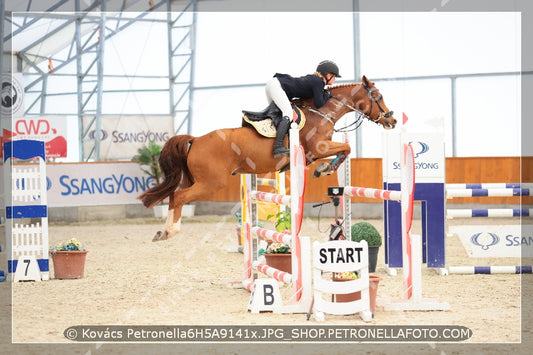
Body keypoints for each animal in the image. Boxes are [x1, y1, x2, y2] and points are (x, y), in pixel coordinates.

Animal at [141, 75, 394, 242]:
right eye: (379, 96)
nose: (392, 120)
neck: (322, 112)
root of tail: (196, 139)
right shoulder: (317, 148)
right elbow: (346, 149)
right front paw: (324, 169)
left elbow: (344, 150)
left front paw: (323, 169)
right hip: (211, 183)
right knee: (179, 197)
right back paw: (169, 231)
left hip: (197, 179)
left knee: (175, 196)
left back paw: (163, 231)